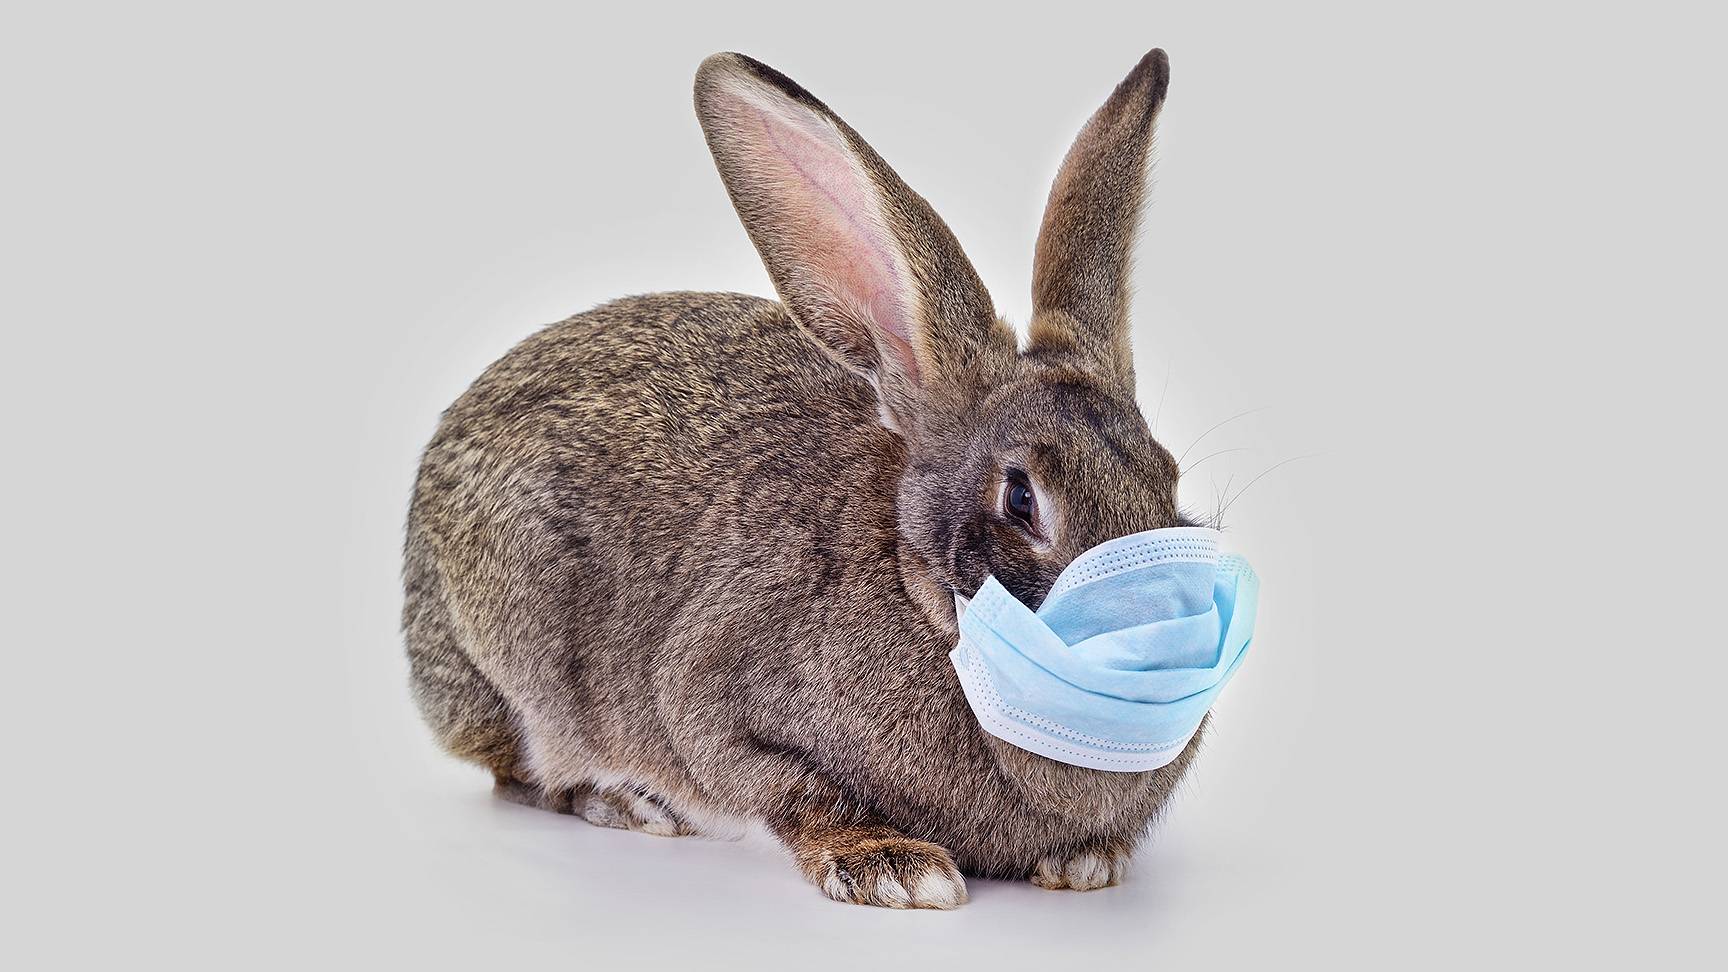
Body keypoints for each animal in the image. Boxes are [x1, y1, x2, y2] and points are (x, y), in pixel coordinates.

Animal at [403, 47, 1205, 910]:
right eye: (1021, 497)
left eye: (1167, 478)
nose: (1174, 632)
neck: (921, 595)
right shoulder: (716, 704)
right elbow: (787, 789)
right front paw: (893, 867)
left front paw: (1086, 865)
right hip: (511, 663)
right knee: (522, 771)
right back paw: (624, 800)